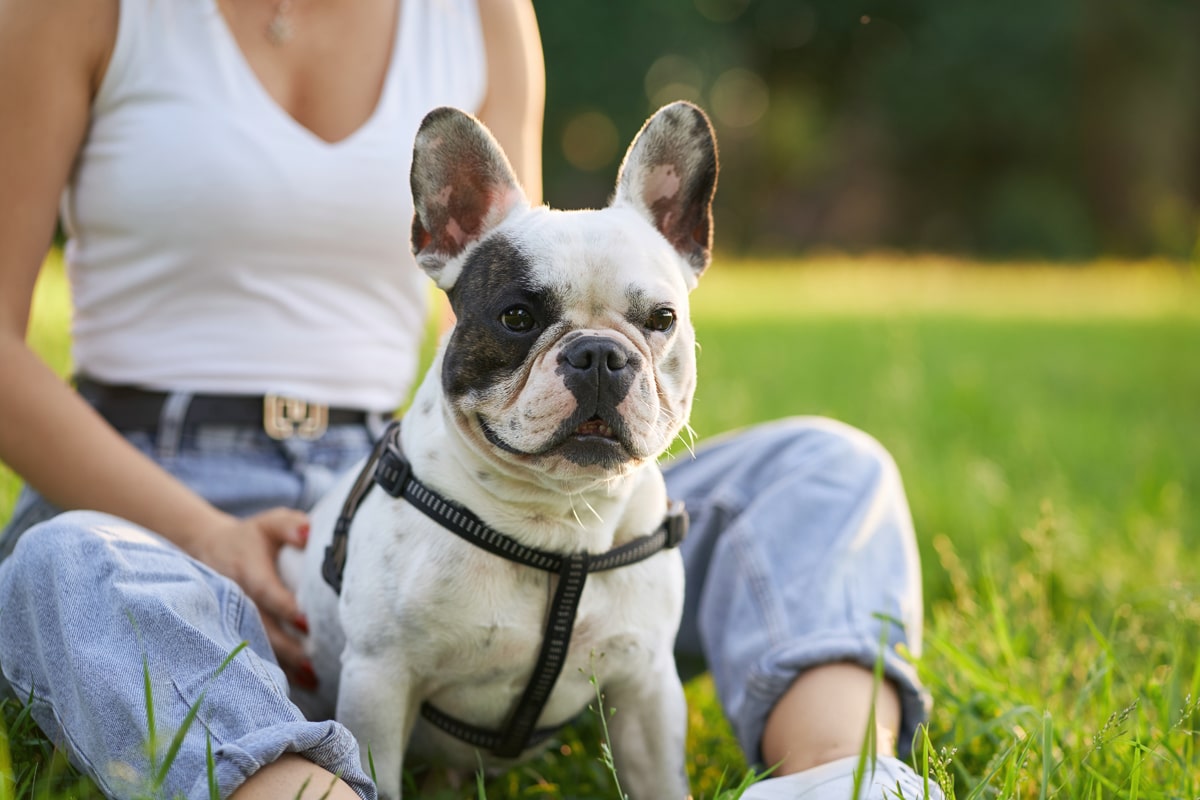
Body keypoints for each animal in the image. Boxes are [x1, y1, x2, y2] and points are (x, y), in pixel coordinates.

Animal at [276, 101, 715, 800]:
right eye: (516, 318)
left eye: (662, 320)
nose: (600, 353)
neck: (561, 519)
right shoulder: (380, 681)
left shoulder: (646, 687)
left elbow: (658, 782)